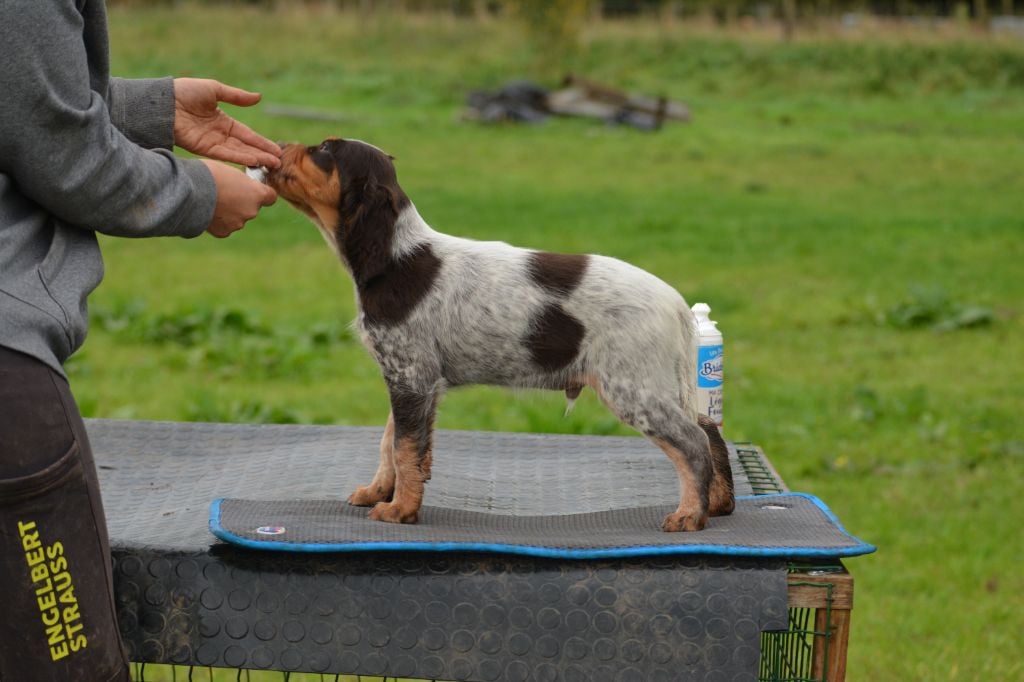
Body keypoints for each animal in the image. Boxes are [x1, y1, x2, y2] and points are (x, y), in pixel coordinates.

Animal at [268, 137, 733, 532]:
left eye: (324, 150)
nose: (279, 145)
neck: (396, 257)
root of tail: (675, 302)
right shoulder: (413, 380)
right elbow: (394, 443)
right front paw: (378, 492)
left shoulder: (411, 376)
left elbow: (404, 448)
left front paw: (400, 510)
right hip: (661, 386)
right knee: (708, 430)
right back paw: (716, 504)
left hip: (633, 389)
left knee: (693, 443)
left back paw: (690, 515)